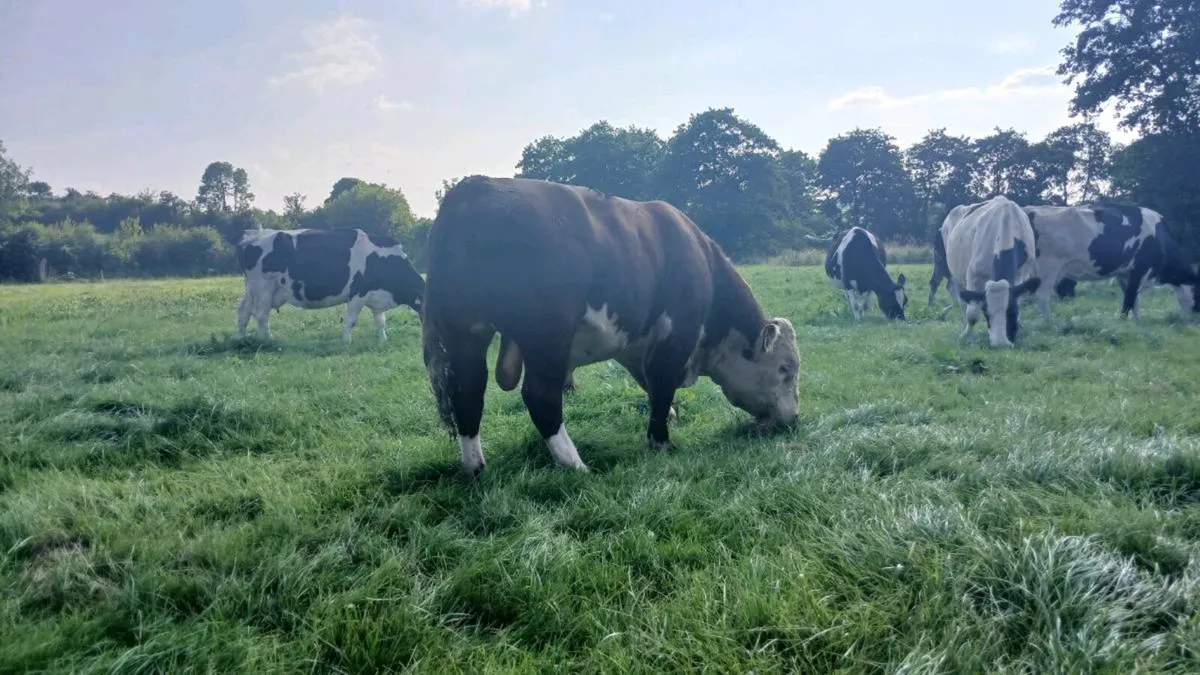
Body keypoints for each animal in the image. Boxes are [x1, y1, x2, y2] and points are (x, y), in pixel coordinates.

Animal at [235, 228, 425, 343]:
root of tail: (255, 236)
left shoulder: (376, 295)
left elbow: (380, 321)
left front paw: (383, 340)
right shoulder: (357, 292)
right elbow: (351, 320)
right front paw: (346, 341)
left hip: (252, 289)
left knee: (243, 311)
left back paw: (241, 338)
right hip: (263, 287)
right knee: (261, 314)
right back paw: (268, 339)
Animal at [421, 175, 801, 476]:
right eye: (785, 368)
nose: (794, 417)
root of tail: (475, 187)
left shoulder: (637, 343)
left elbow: (651, 385)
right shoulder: (677, 334)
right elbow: (663, 384)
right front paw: (661, 442)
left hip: (466, 333)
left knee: (467, 393)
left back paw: (475, 466)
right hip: (547, 335)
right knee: (540, 396)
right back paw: (576, 464)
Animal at [940, 196, 1042, 347]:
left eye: (1012, 311)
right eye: (986, 312)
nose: (1001, 344)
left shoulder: (1021, 274)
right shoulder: (973, 275)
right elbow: (972, 314)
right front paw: (966, 336)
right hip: (956, 275)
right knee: (963, 303)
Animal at [1022, 203, 1200, 320]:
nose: (1195, 318)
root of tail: (1030, 210)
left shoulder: (1124, 274)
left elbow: (1134, 301)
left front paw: (1138, 322)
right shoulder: (1139, 270)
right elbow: (1129, 300)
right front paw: (1123, 322)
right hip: (1049, 267)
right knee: (1042, 295)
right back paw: (1050, 322)